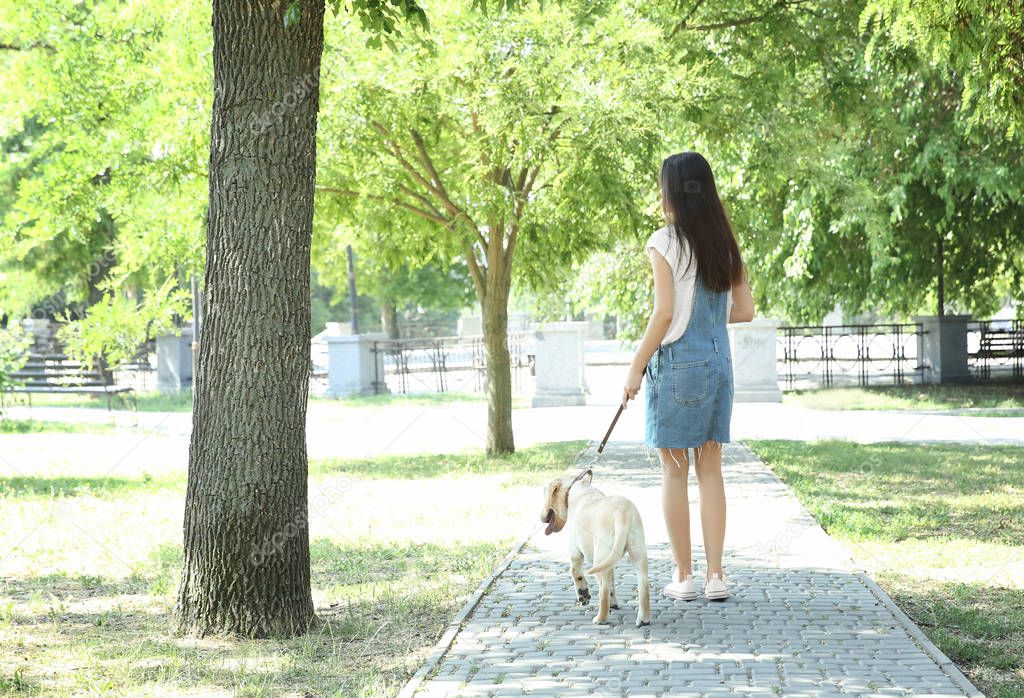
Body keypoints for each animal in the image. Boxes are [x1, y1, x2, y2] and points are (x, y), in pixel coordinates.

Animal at [540, 466, 651, 626]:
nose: (541, 518)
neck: (575, 490)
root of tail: (622, 513)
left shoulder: (575, 552)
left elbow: (575, 573)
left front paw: (583, 594)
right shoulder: (610, 562)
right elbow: (612, 583)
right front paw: (614, 603)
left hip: (599, 559)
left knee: (603, 589)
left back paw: (601, 619)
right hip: (637, 554)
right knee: (643, 585)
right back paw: (644, 618)